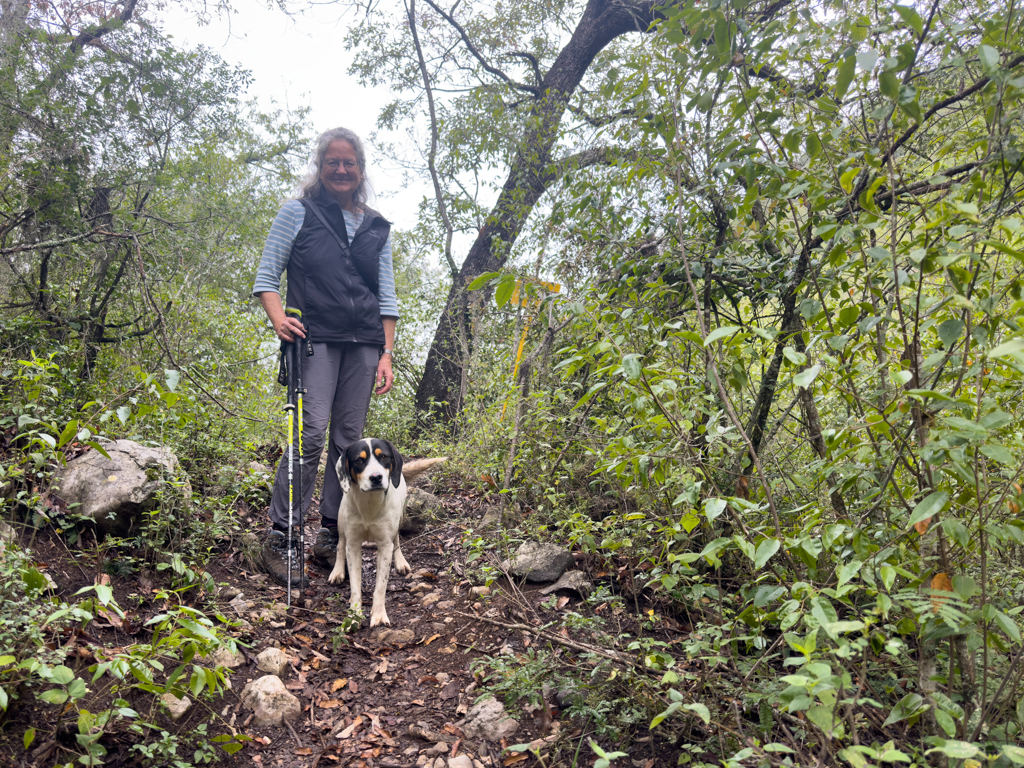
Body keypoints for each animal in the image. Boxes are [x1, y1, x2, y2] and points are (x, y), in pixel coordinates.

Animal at [325, 442, 442, 626]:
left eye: (384, 457)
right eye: (359, 460)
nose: (376, 477)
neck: (369, 503)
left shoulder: (385, 545)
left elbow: (380, 586)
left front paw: (379, 615)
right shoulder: (353, 544)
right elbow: (355, 586)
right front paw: (354, 615)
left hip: (399, 517)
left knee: (397, 541)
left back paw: (400, 562)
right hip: (341, 520)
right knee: (340, 544)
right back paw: (337, 571)